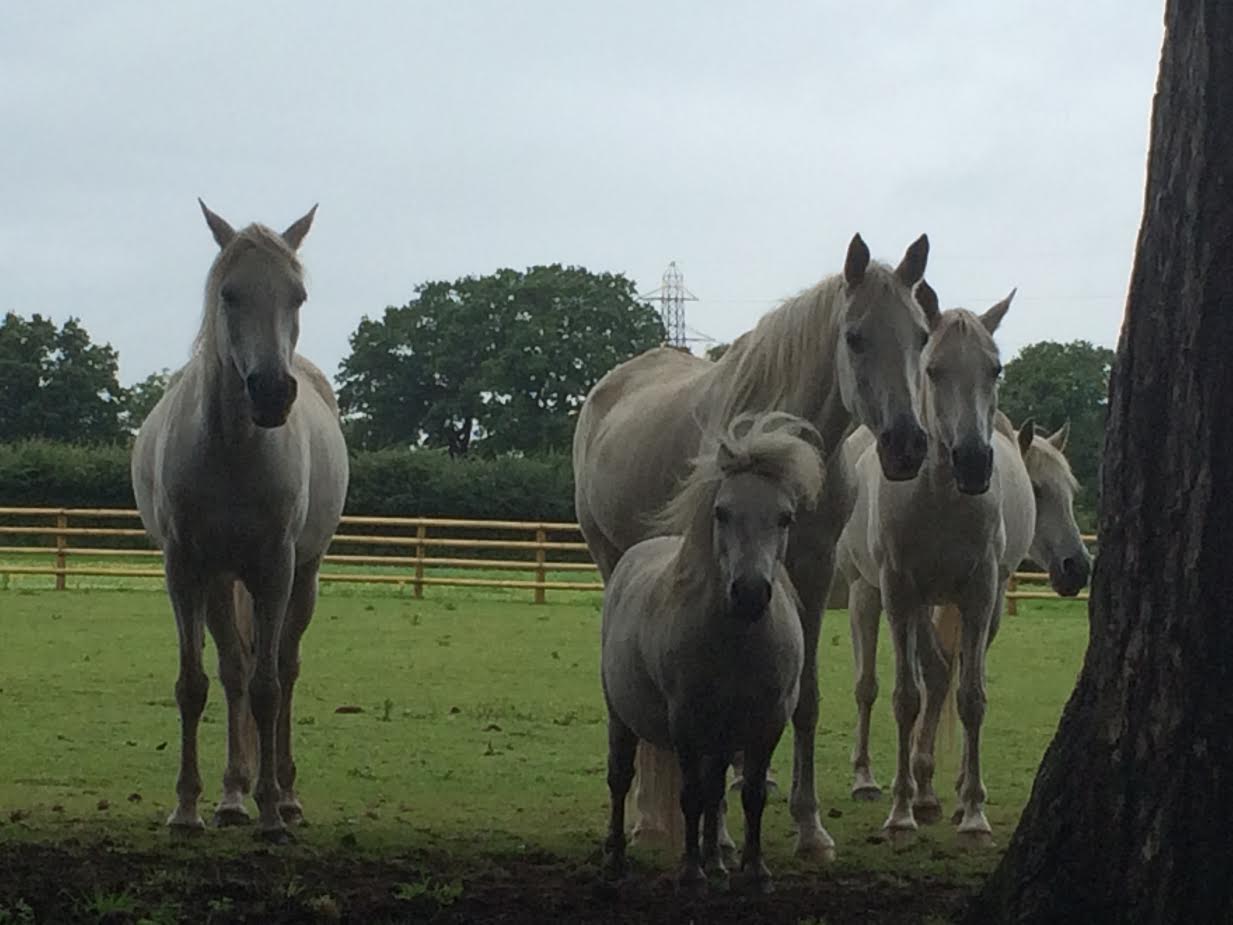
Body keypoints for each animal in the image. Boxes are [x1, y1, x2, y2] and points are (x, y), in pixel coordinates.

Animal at [131, 200, 349, 841]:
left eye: (297, 296)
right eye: (229, 293)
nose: (272, 392)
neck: (230, 451)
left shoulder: (275, 569)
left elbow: (269, 686)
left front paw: (273, 813)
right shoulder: (185, 570)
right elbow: (195, 683)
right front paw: (187, 808)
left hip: (304, 576)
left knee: (284, 669)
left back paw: (287, 796)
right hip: (221, 579)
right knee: (232, 671)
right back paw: (231, 796)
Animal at [600, 412, 824, 892]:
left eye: (785, 517)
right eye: (722, 512)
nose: (750, 593)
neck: (735, 644)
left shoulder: (767, 721)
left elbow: (749, 795)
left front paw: (755, 871)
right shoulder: (685, 721)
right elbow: (689, 796)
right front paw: (690, 872)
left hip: (719, 736)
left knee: (714, 788)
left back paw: (716, 860)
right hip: (620, 716)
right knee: (620, 778)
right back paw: (615, 860)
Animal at [833, 288, 1020, 847]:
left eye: (995, 369)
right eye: (933, 370)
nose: (974, 462)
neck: (939, 497)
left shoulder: (980, 593)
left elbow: (971, 696)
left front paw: (974, 814)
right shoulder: (899, 592)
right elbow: (903, 697)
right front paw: (900, 813)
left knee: (939, 674)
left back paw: (932, 793)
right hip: (875, 596)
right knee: (875, 684)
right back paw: (877, 782)